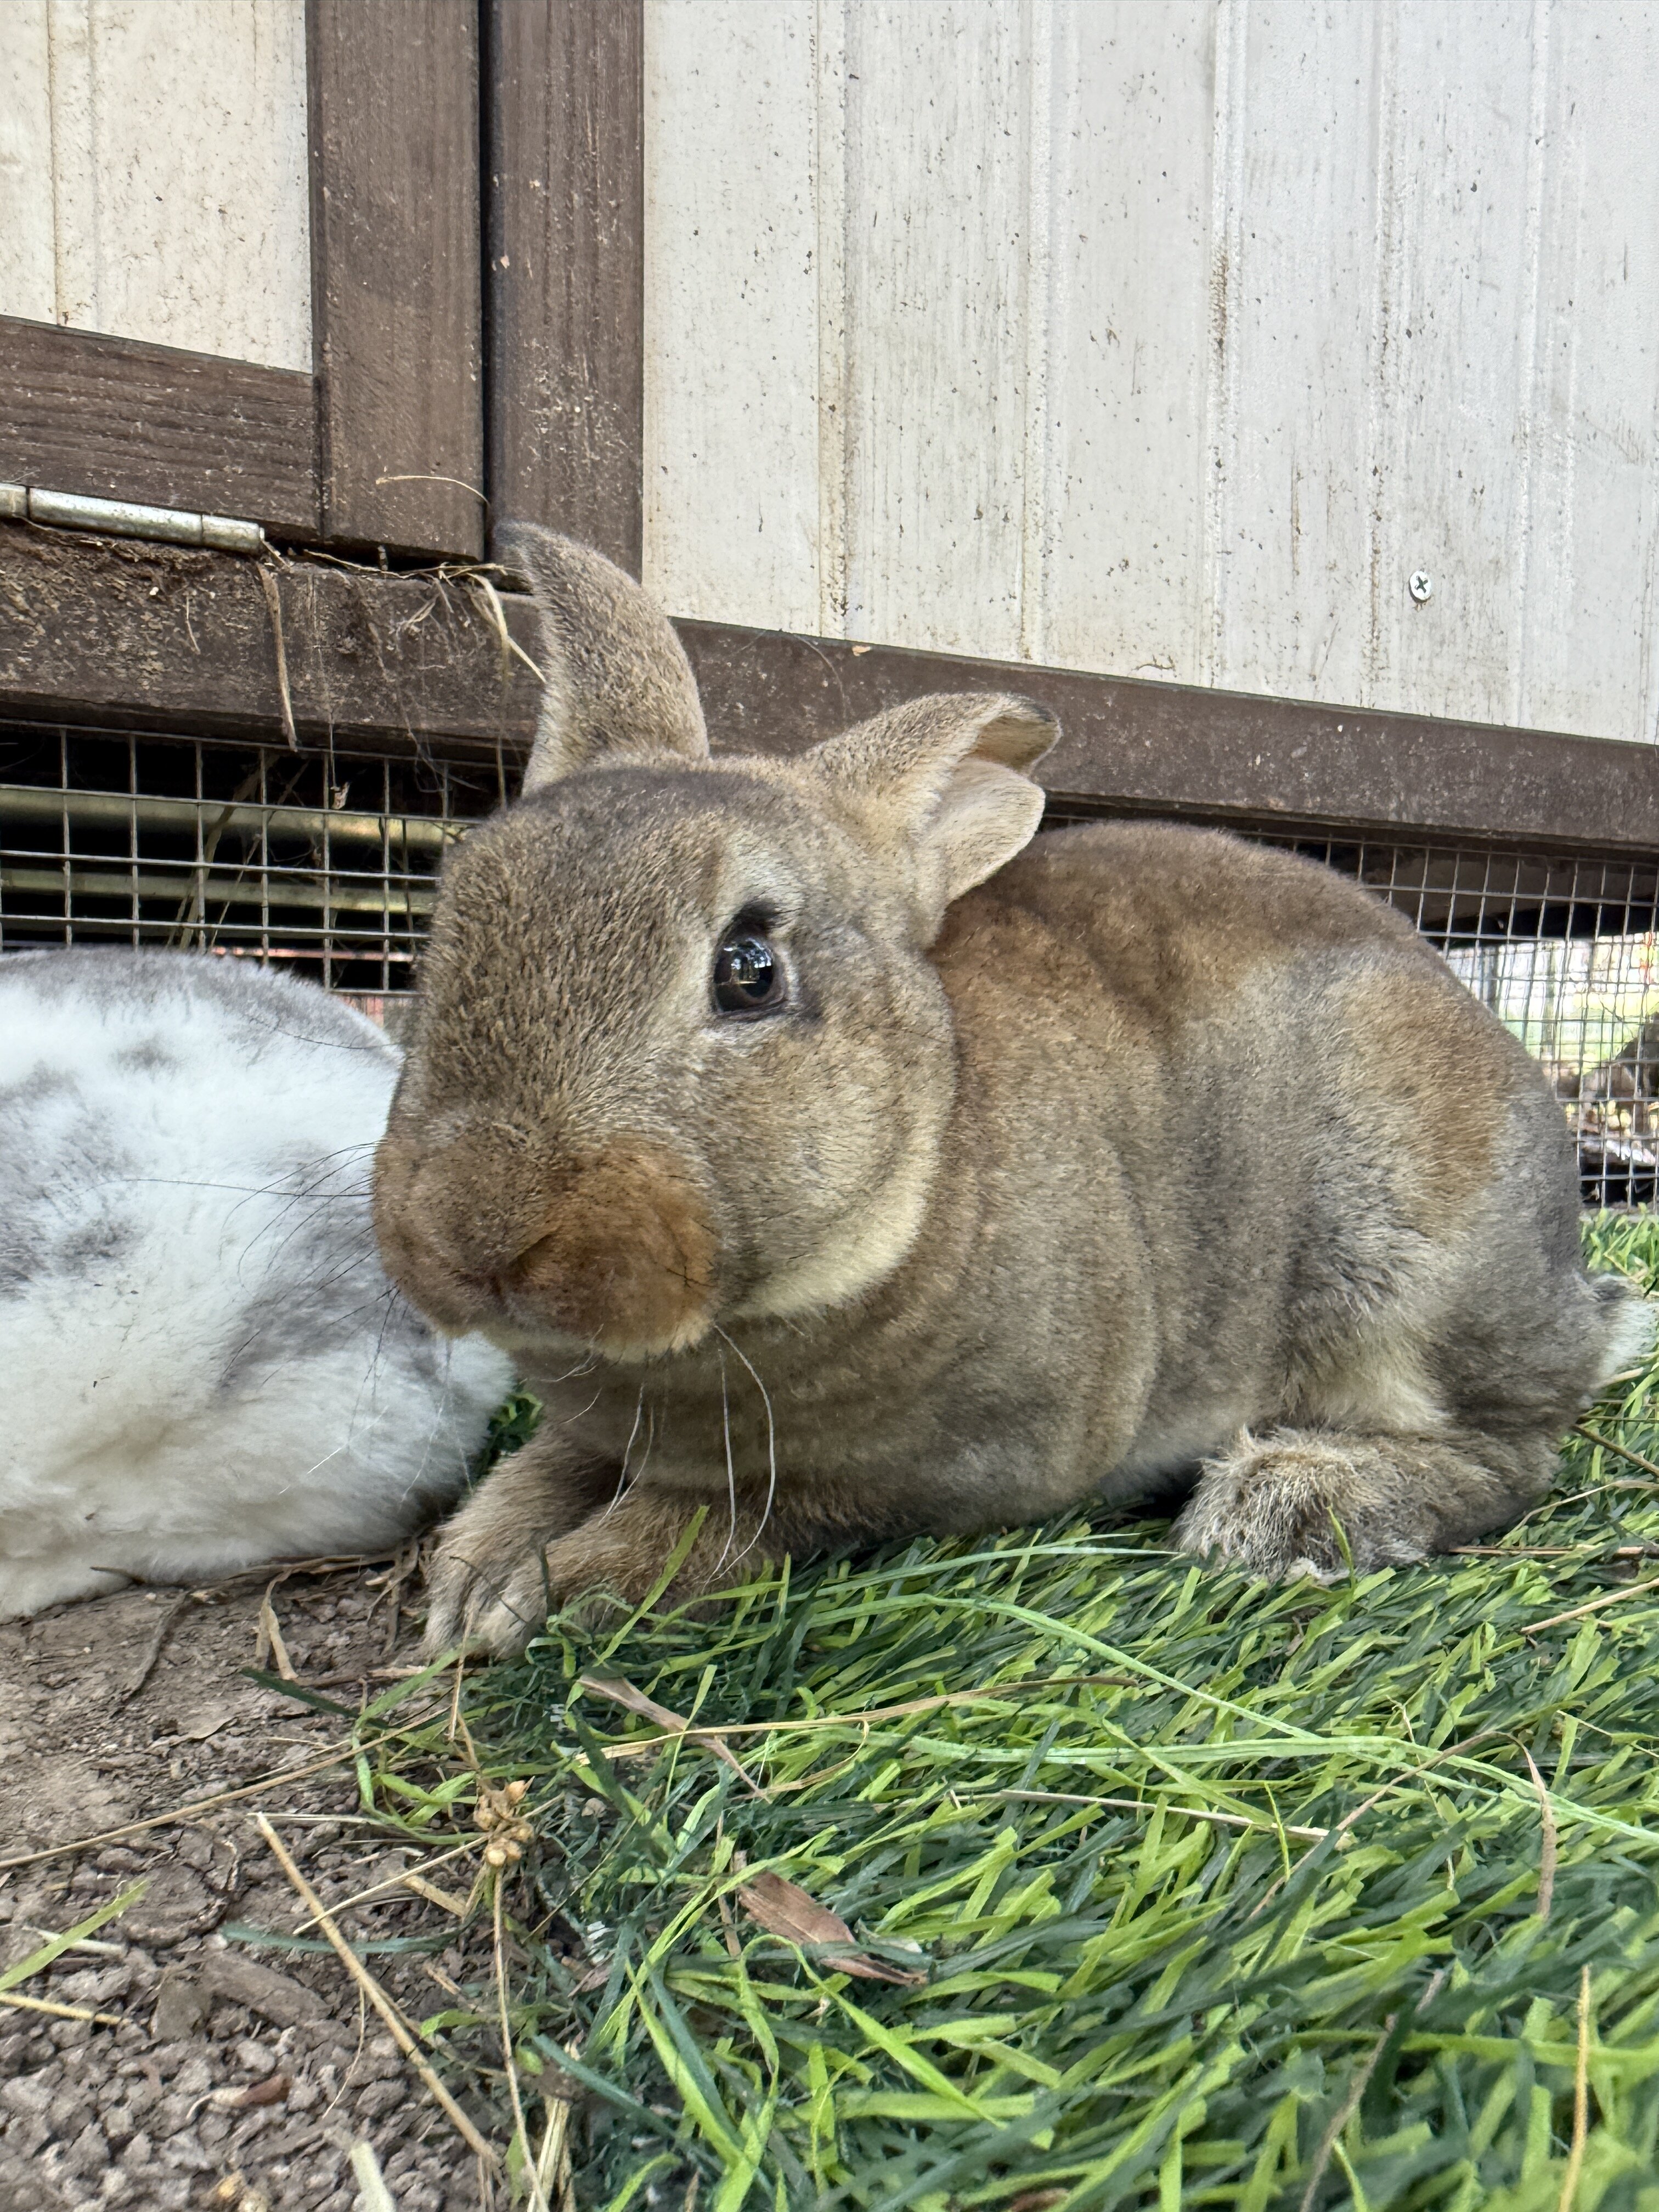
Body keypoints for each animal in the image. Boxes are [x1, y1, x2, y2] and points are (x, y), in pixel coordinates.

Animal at [371, 526, 1654, 1658]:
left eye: (749, 969)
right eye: (452, 917)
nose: (477, 1230)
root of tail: (1573, 1300)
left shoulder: (934, 1469)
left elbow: (733, 1515)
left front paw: (553, 1587)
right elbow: (557, 1462)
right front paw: (475, 1574)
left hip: (1401, 1254)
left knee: (1509, 1456)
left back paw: (1287, 1504)